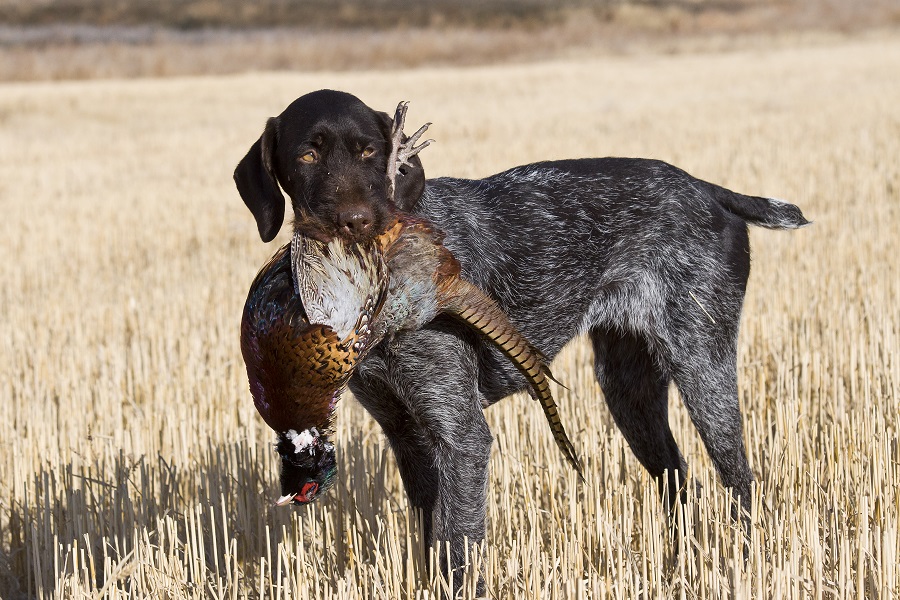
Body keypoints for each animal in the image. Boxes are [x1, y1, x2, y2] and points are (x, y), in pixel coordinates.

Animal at [232, 90, 808, 592]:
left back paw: (744, 563)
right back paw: (679, 563)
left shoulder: (460, 436)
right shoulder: (408, 436)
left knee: (740, 482)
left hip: (703, 369)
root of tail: (708, 189)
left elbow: (458, 546)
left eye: (369, 151)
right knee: (678, 480)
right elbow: (431, 541)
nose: (357, 222)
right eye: (307, 154)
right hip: (629, 391)